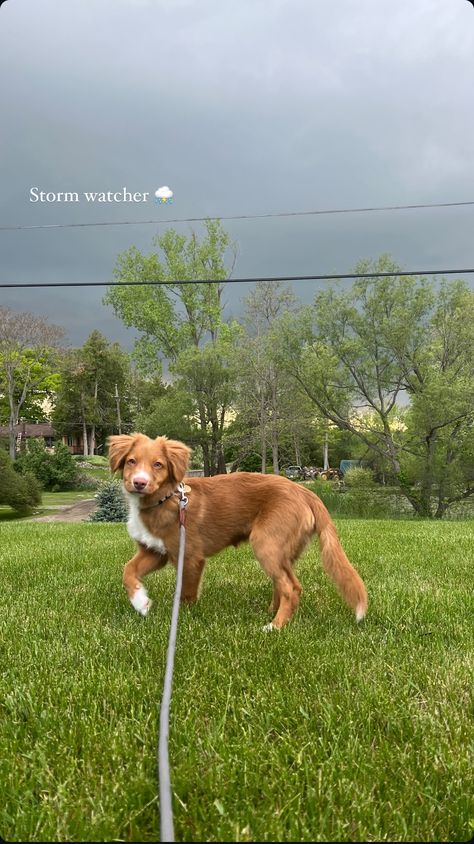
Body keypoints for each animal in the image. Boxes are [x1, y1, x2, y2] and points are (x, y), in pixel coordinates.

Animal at [107, 436, 366, 628]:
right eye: (131, 461)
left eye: (158, 464)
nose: (139, 483)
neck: (165, 500)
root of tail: (306, 492)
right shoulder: (155, 551)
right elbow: (127, 571)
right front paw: (141, 602)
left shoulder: (189, 557)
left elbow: (186, 593)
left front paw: (181, 618)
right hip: (284, 550)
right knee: (284, 583)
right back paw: (271, 612)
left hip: (266, 543)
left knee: (291, 588)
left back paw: (275, 626)